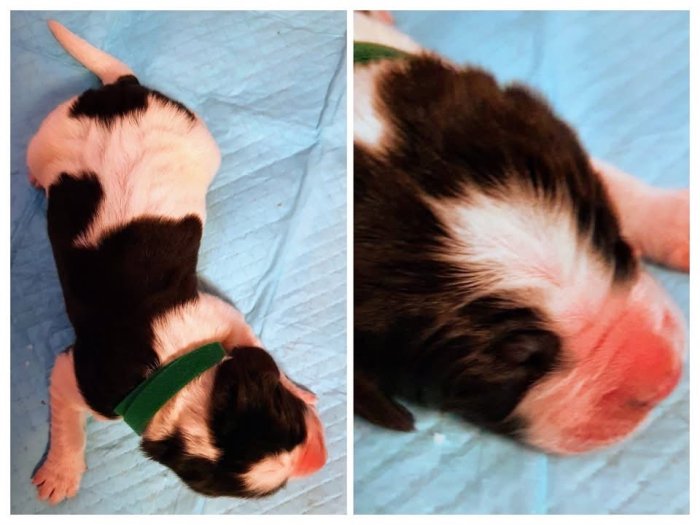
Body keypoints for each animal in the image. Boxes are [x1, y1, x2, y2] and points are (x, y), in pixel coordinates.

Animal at [28, 20, 327, 505]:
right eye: (289, 422)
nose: (317, 460)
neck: (173, 375)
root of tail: (121, 90)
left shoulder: (216, 313)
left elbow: (249, 338)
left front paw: (295, 381)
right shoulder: (77, 376)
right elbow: (69, 422)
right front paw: (61, 473)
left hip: (193, 133)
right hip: (47, 136)